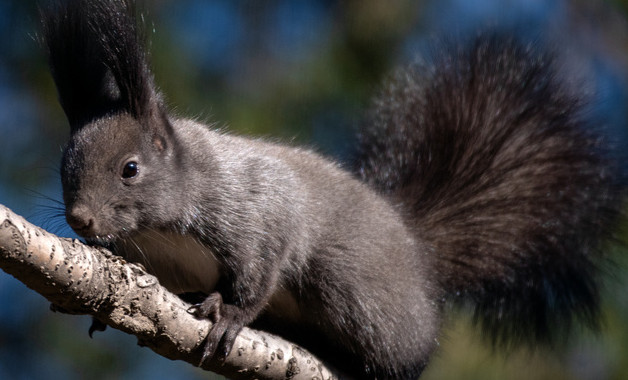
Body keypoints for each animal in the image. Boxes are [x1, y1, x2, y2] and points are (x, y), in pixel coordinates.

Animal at [40, 0, 624, 380]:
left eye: (130, 169)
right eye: (64, 164)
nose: (80, 219)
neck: (163, 226)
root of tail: (419, 256)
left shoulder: (256, 212)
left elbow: (259, 273)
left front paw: (229, 314)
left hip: (360, 302)